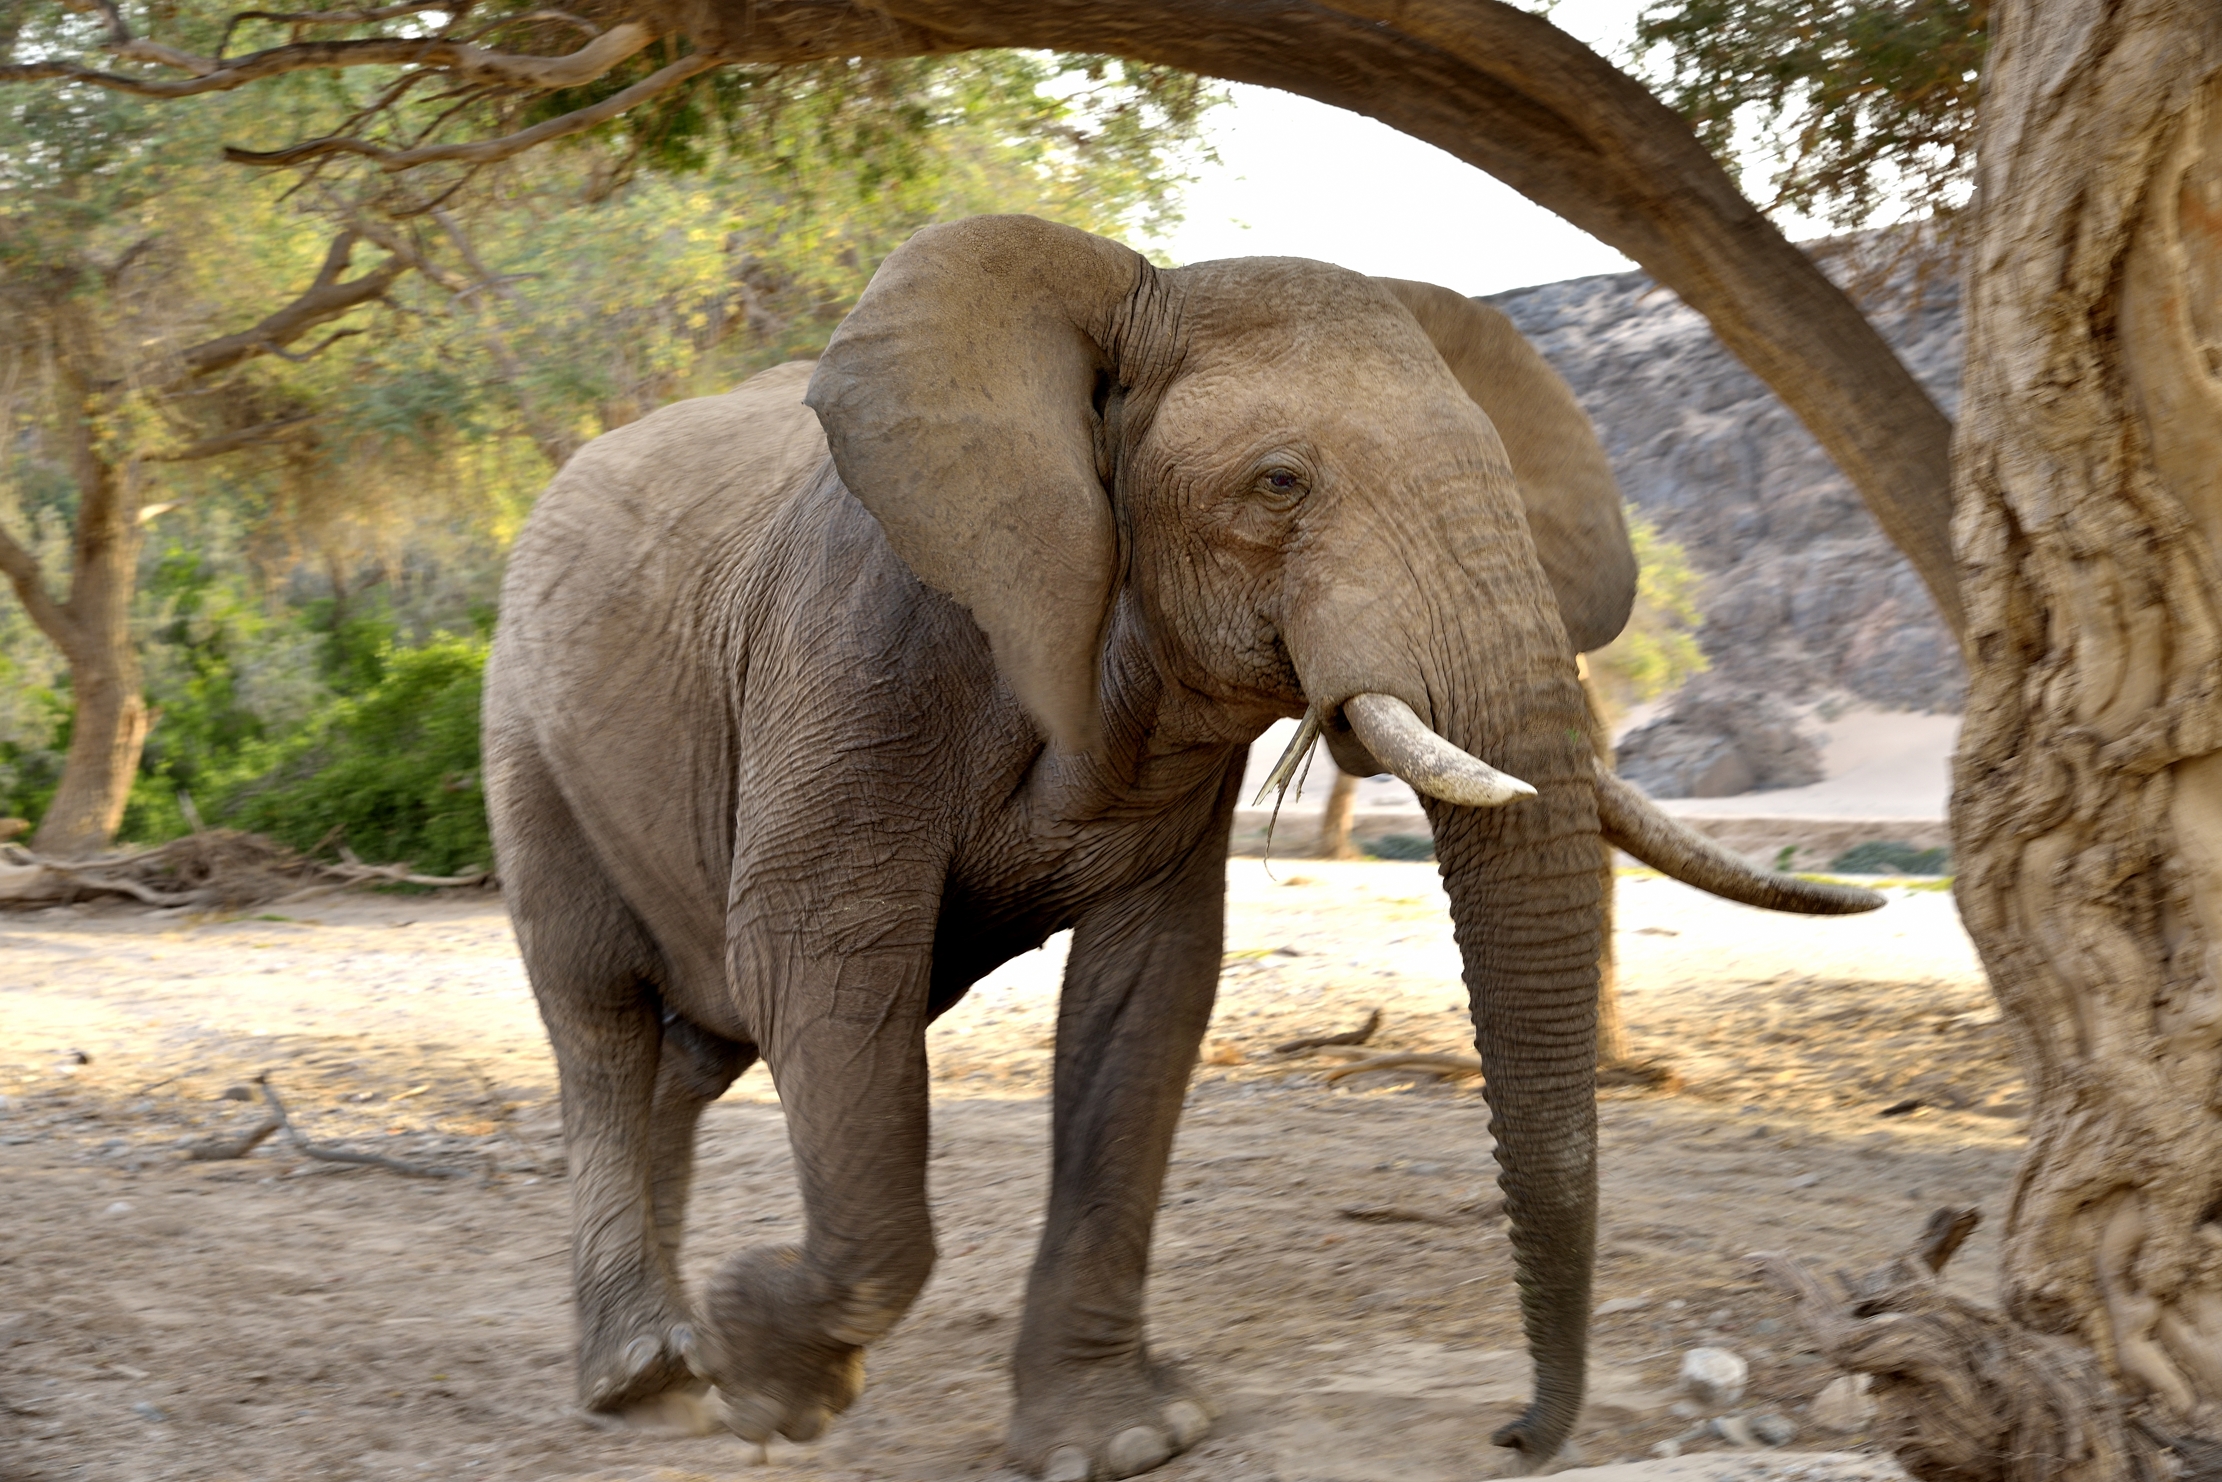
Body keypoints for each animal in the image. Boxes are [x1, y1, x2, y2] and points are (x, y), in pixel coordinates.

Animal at [482, 213, 1879, 1478]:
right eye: (1278, 482)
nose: (1512, 1438)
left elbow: (1147, 989)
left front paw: (1123, 1443)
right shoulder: (857, 645)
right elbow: (822, 963)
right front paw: (768, 1379)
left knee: (692, 1052)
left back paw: (665, 1360)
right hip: (526, 737)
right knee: (603, 1022)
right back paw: (649, 1378)